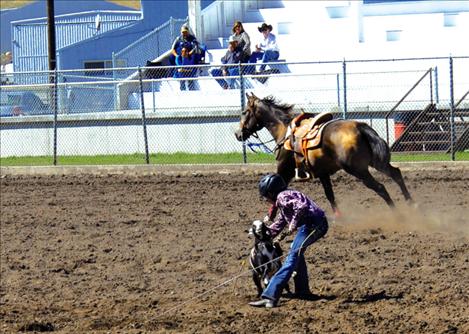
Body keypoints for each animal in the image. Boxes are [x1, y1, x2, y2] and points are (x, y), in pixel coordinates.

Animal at [234, 92, 410, 217]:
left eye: (244, 112)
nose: (237, 134)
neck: (284, 130)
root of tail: (360, 127)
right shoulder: (323, 173)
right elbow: (330, 195)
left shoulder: (284, 170)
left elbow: (276, 193)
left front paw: (269, 218)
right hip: (375, 162)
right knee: (396, 174)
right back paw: (411, 203)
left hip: (358, 170)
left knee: (380, 187)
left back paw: (398, 214)